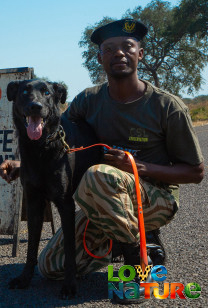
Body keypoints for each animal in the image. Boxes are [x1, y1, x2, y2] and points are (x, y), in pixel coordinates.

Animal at [6, 79, 101, 298]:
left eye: (47, 93)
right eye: (25, 92)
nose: (36, 106)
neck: (41, 148)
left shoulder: (65, 204)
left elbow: (69, 249)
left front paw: (69, 285)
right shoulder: (33, 202)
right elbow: (32, 247)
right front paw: (24, 278)